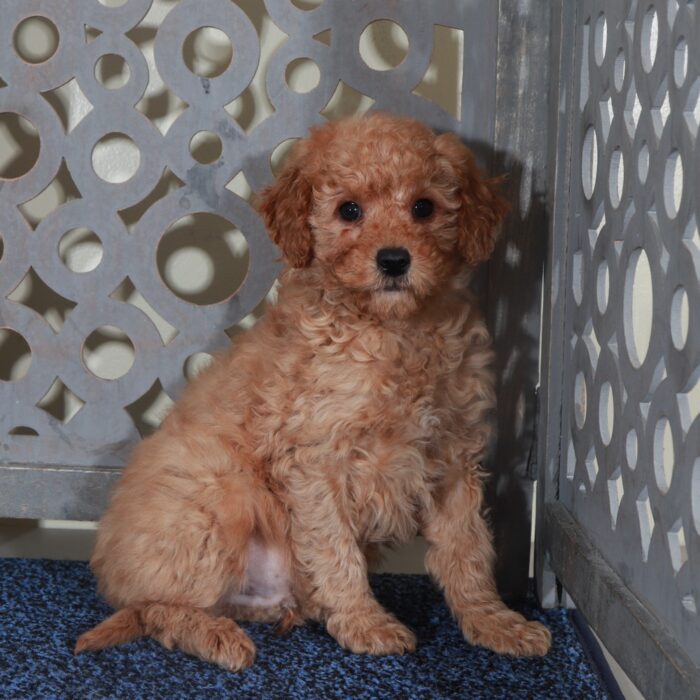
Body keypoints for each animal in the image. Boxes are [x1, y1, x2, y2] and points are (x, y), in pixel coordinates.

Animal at [76, 112, 552, 668]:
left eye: (424, 207)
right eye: (350, 210)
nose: (394, 260)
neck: (394, 331)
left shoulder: (454, 454)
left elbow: (467, 549)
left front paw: (493, 621)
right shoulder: (315, 458)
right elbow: (335, 550)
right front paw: (365, 622)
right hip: (221, 501)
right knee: (156, 608)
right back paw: (216, 636)